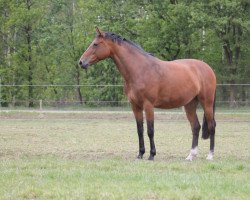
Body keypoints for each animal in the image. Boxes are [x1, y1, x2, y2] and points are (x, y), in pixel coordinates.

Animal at [79, 27, 216, 161]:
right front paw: (140, 154)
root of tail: (207, 67)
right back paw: (191, 155)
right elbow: (140, 130)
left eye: (95, 44)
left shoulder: (148, 105)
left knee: (211, 125)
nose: (81, 62)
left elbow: (150, 130)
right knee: (196, 127)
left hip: (207, 103)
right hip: (190, 104)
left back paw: (210, 155)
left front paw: (151, 155)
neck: (140, 70)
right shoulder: (135, 106)